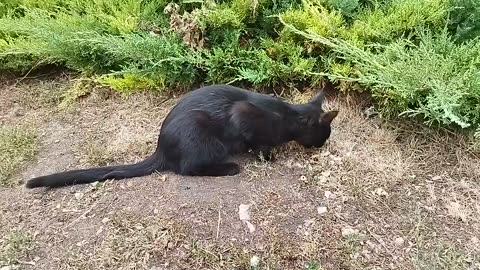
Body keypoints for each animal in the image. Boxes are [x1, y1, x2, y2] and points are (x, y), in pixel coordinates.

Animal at [25, 83, 338, 189]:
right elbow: (257, 142)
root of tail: (161, 147)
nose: (322, 146)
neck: (287, 117)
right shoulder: (243, 117)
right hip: (203, 136)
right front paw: (267, 156)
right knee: (188, 168)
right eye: (325, 133)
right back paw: (229, 167)